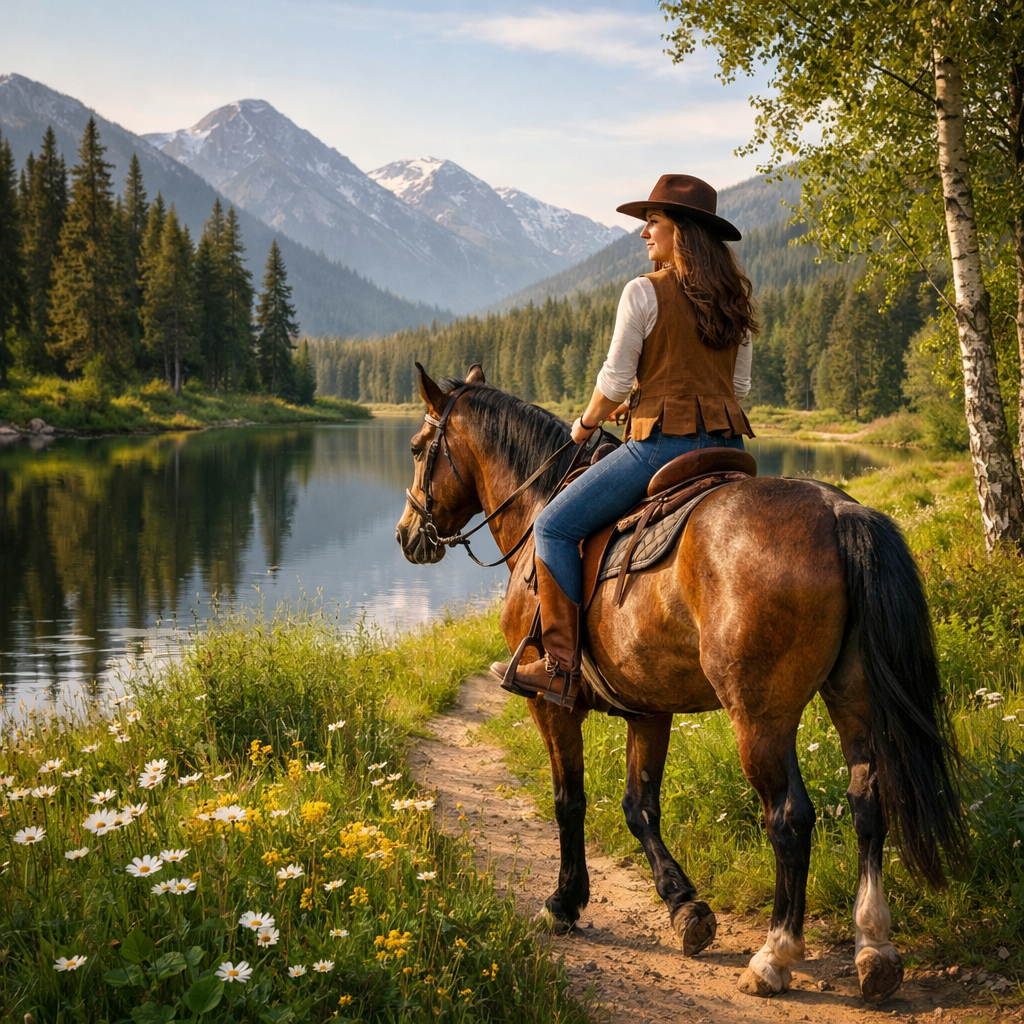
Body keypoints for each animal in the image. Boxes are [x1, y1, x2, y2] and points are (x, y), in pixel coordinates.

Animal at [395, 363, 965, 1005]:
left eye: (417, 448)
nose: (406, 534)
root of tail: (838, 512)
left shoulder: (549, 702)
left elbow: (571, 801)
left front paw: (565, 902)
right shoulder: (649, 709)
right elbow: (639, 806)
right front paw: (684, 907)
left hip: (760, 716)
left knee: (790, 818)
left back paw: (774, 956)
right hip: (853, 698)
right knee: (868, 801)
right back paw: (875, 949)